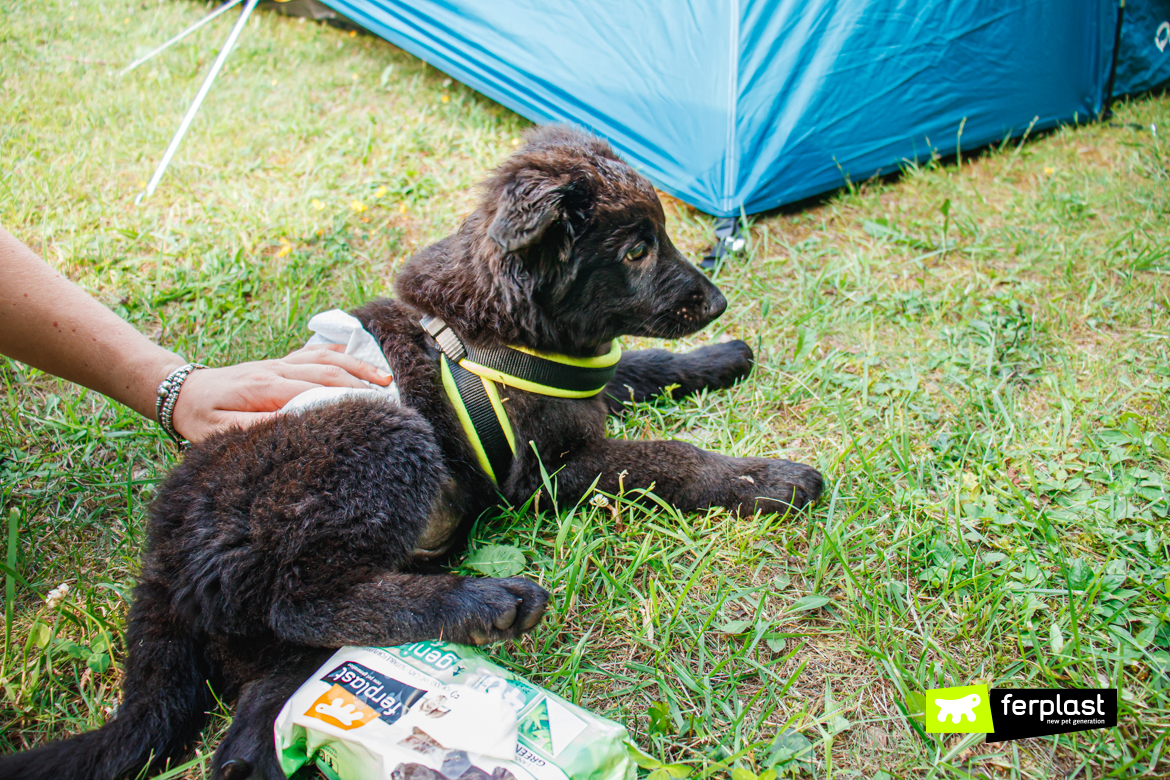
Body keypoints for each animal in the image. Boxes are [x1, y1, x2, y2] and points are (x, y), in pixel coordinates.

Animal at [0, 125, 823, 776]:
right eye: (636, 249)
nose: (718, 302)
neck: (499, 326)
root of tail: (164, 561)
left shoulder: (581, 391)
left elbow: (643, 366)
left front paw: (720, 357)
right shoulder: (550, 472)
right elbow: (670, 456)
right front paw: (767, 476)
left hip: (282, 644)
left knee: (252, 724)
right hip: (384, 439)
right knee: (305, 598)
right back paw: (486, 600)